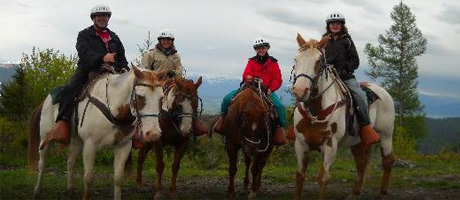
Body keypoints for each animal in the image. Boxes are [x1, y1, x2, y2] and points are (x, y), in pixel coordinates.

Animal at [27, 66, 167, 199]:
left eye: (161, 98)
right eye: (140, 96)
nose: (154, 133)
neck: (112, 109)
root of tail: (45, 101)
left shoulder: (123, 147)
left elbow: (118, 179)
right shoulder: (90, 145)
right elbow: (88, 178)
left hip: (76, 142)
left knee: (70, 162)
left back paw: (70, 190)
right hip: (45, 138)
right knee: (42, 163)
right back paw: (37, 191)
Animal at [292, 33, 396, 199]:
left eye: (319, 61)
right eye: (296, 59)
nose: (300, 91)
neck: (316, 110)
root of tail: (383, 92)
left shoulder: (330, 144)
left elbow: (323, 178)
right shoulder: (301, 143)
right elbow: (300, 176)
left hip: (385, 135)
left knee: (388, 161)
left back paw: (381, 194)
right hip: (358, 142)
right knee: (361, 162)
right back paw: (354, 193)